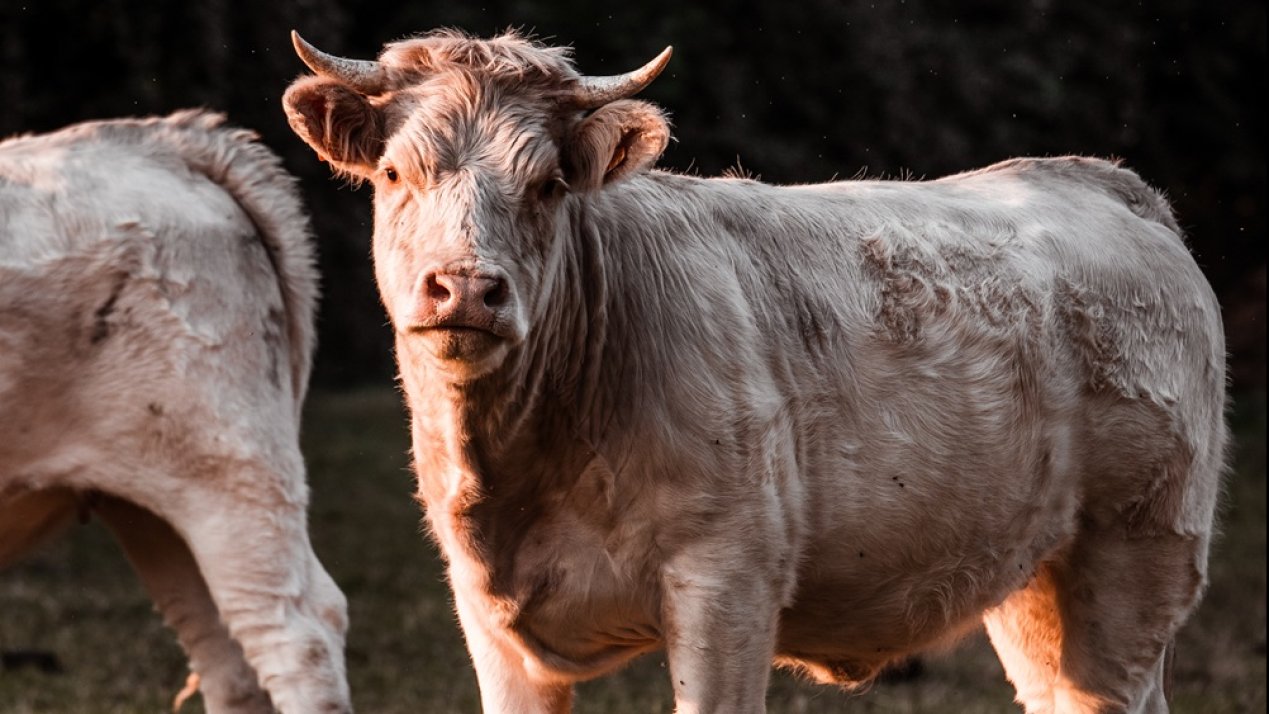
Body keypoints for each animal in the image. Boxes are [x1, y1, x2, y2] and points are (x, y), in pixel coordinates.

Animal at [282, 30, 1226, 714]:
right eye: (395, 172)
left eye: (548, 183)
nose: (466, 287)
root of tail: (1099, 181)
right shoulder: (491, 620)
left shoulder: (726, 582)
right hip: (1037, 589)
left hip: (1135, 555)